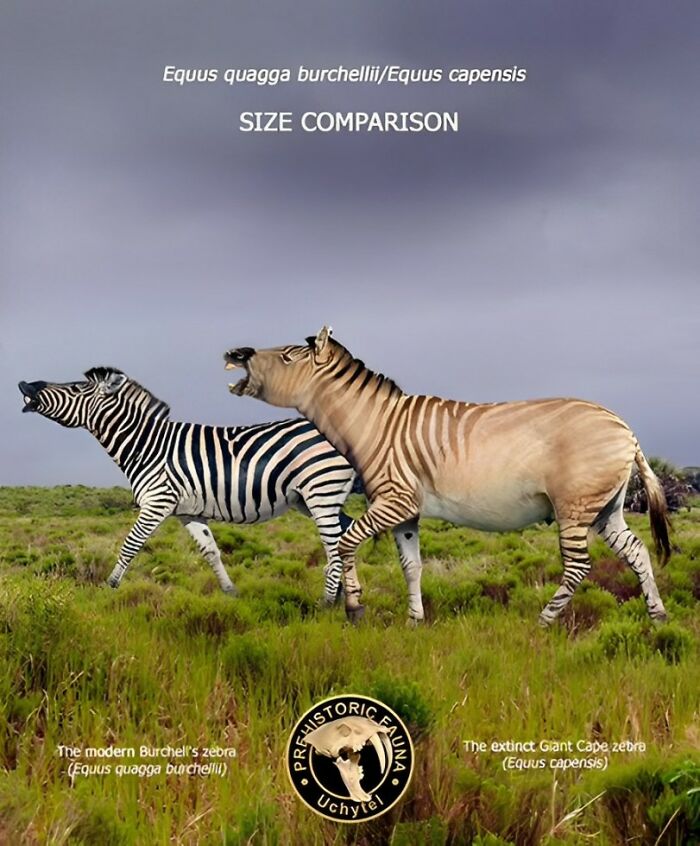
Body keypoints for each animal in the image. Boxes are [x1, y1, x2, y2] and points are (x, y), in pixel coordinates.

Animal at [18, 367, 357, 602]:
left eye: (75, 388)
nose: (24, 384)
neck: (146, 445)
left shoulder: (157, 501)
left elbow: (130, 545)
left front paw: (109, 588)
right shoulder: (187, 511)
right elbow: (211, 552)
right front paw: (231, 593)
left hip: (321, 491)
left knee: (335, 547)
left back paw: (327, 604)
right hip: (312, 498)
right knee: (346, 536)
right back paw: (347, 599)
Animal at [224, 326, 670, 627]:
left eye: (286, 357)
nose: (234, 352)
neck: (375, 425)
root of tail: (624, 428)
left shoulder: (394, 500)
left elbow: (347, 544)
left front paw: (354, 608)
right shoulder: (406, 513)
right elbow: (412, 566)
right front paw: (414, 620)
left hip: (575, 507)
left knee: (578, 567)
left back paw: (544, 620)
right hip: (606, 509)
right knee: (637, 552)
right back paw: (658, 617)